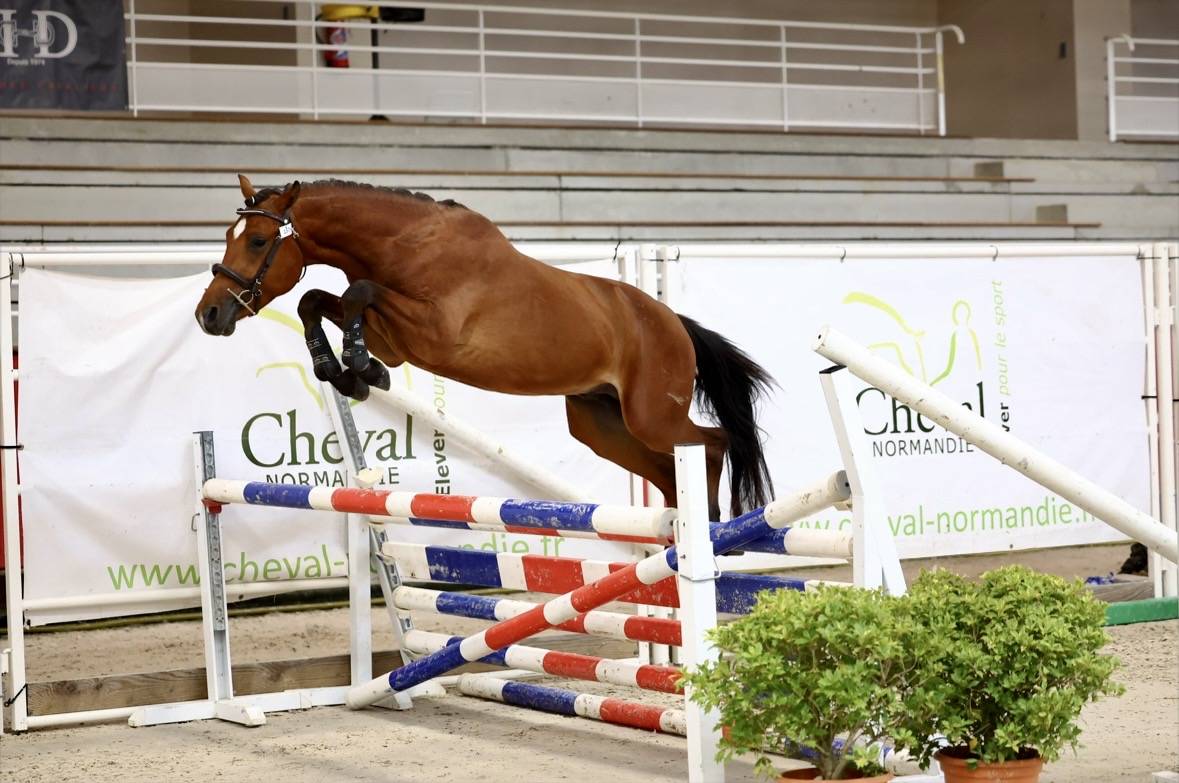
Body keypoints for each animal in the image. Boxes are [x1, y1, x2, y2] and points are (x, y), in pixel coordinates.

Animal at [195, 176, 773, 520]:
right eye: (228, 236)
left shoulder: (432, 332)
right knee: (670, 469)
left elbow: (357, 292)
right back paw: (677, 531)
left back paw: (713, 526)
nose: (209, 315)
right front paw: (346, 372)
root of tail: (672, 322)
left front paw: (359, 369)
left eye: (258, 242)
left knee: (713, 443)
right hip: (603, 424)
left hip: (652, 414)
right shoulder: (395, 336)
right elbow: (316, 300)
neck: (409, 245)